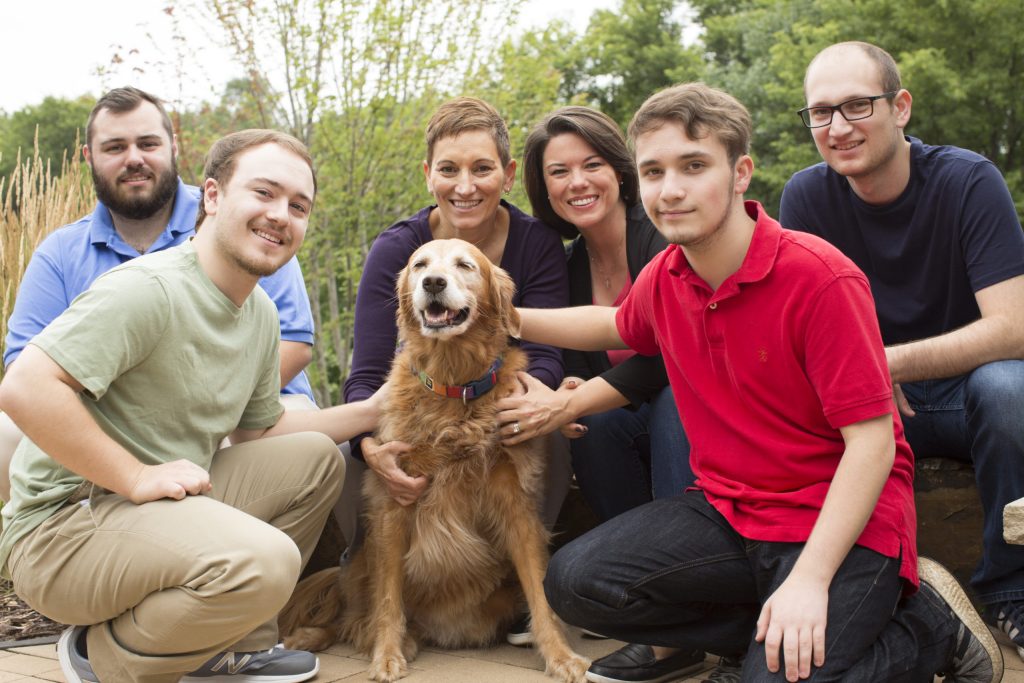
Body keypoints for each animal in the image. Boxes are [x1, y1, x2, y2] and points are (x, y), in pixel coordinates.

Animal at [280, 240, 589, 683]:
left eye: (464, 265)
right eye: (419, 264)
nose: (433, 283)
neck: (454, 386)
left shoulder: (517, 506)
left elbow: (540, 591)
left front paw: (560, 655)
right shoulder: (394, 503)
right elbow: (388, 598)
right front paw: (386, 654)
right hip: (359, 563)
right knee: (350, 618)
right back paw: (314, 637)